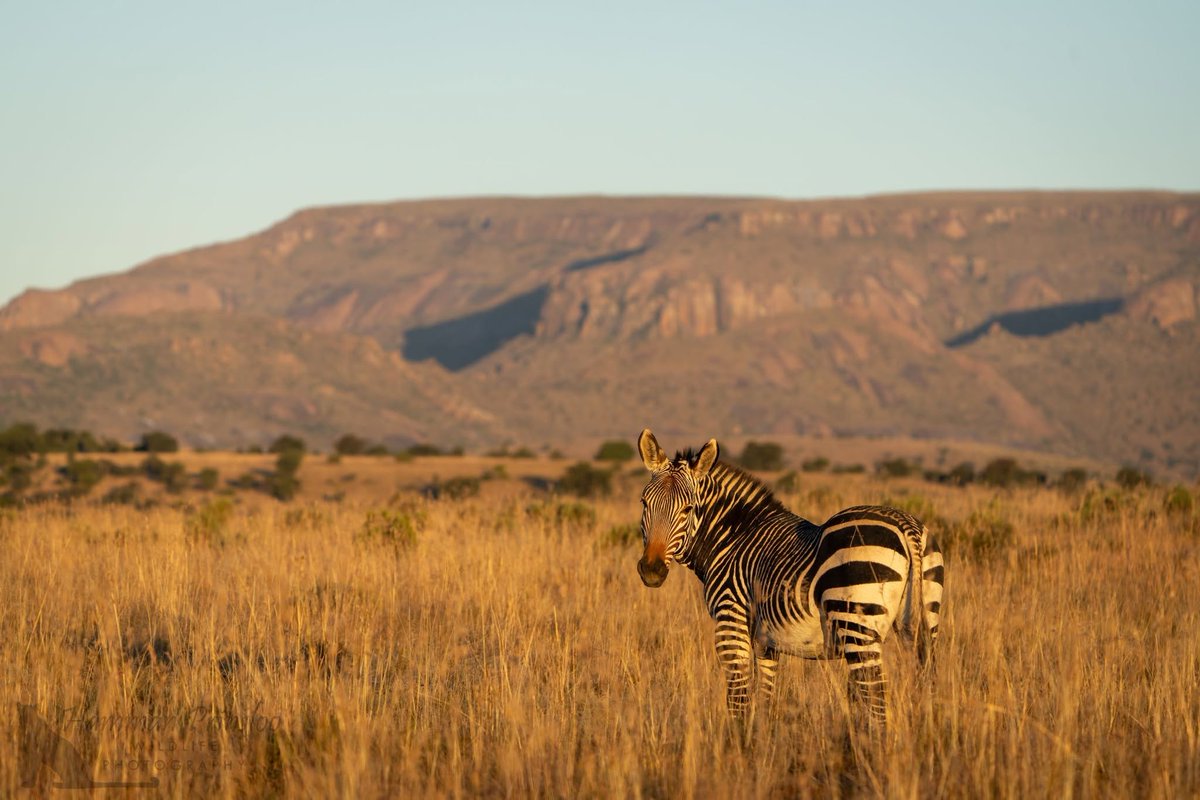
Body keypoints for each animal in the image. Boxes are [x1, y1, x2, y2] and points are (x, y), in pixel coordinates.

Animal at [634, 429, 943, 725]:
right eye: (644, 503)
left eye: (688, 509)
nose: (651, 570)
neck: (731, 539)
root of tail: (907, 526)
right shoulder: (766, 642)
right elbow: (765, 700)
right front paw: (762, 739)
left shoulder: (731, 621)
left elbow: (738, 702)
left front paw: (736, 742)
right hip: (925, 622)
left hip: (856, 624)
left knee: (877, 699)